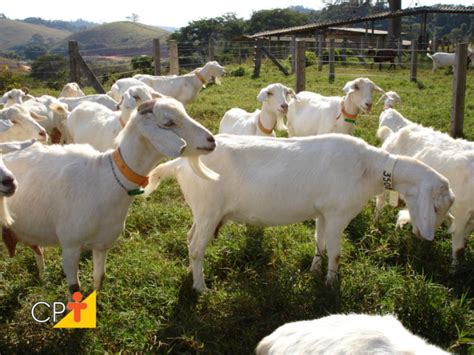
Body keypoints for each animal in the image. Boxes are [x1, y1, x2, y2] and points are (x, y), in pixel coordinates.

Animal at [1, 96, 217, 294]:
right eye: (169, 122)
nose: (211, 140)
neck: (106, 180)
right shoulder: (70, 246)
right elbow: (74, 289)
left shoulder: (102, 244)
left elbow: (99, 278)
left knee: (37, 249)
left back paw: (42, 275)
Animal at [145, 134, 456, 292]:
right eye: (437, 206)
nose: (425, 237)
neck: (369, 168)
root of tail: (179, 164)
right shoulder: (338, 213)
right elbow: (336, 252)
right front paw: (331, 283)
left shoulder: (322, 212)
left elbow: (320, 243)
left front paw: (315, 270)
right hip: (209, 210)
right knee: (197, 248)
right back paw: (201, 288)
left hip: (201, 212)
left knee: (189, 239)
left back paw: (191, 275)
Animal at [376, 124, 472, 268]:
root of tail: (393, 134)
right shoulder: (462, 213)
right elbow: (459, 247)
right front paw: (455, 268)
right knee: (380, 201)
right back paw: (376, 223)